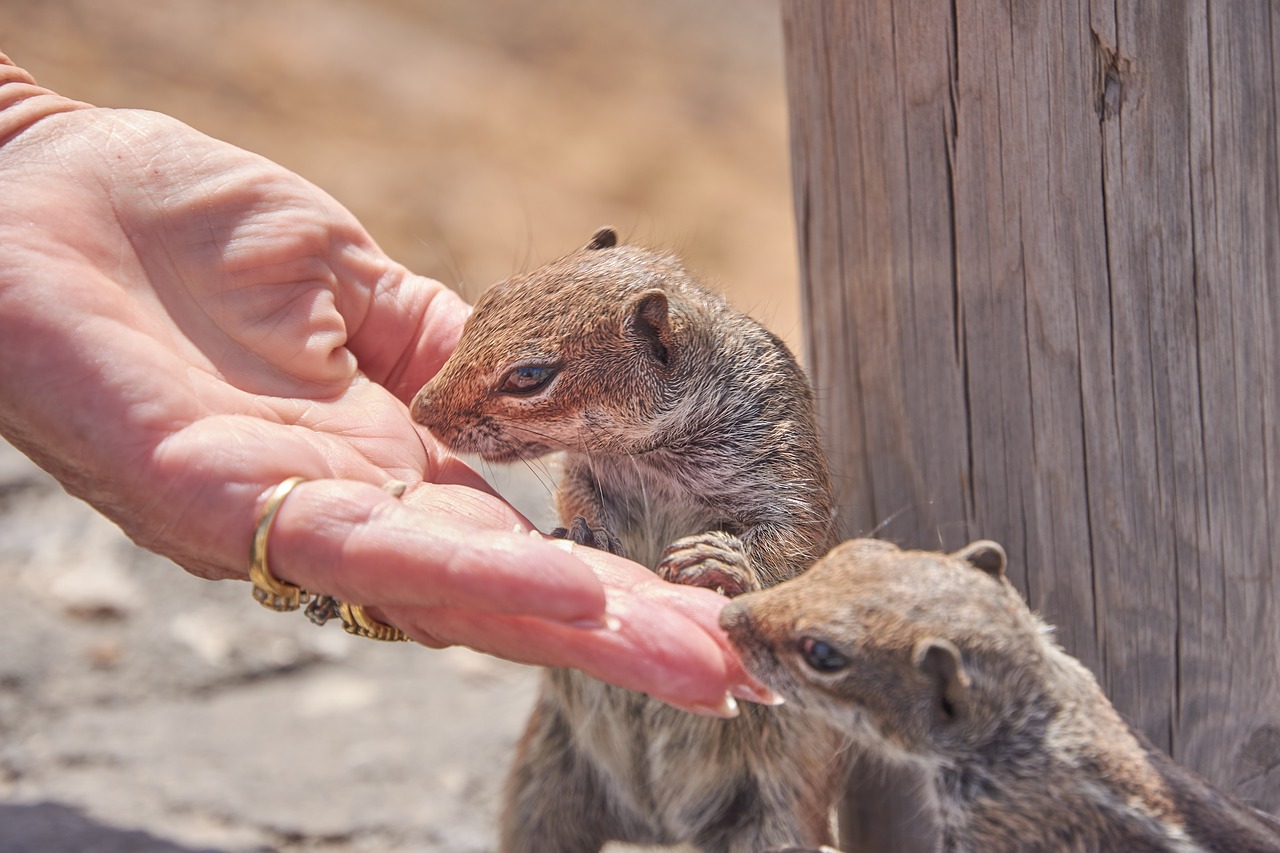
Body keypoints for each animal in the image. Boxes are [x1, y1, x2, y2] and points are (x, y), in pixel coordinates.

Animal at [412, 229, 849, 845]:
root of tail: (655, 828)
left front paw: (722, 561)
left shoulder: (785, 466)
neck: (653, 454)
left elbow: (797, 544)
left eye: (530, 376)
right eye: (488, 301)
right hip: (540, 789)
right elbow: (576, 494)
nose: (419, 409)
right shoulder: (584, 470)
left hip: (775, 818)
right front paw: (585, 532)